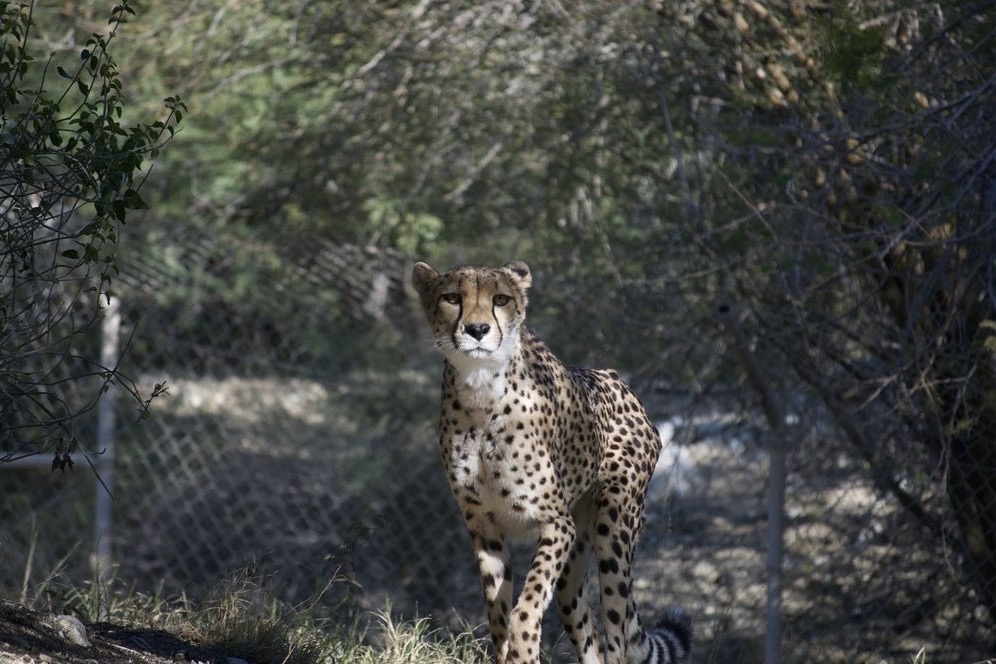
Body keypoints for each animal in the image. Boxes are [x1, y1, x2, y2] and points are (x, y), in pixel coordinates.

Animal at [412, 260, 692, 664]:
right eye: (452, 298)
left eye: (501, 299)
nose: (477, 330)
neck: (481, 391)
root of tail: (617, 380)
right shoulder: (484, 526)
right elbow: (498, 615)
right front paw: (507, 651)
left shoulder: (555, 522)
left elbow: (526, 605)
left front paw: (525, 648)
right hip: (575, 562)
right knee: (584, 628)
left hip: (614, 530)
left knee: (617, 635)